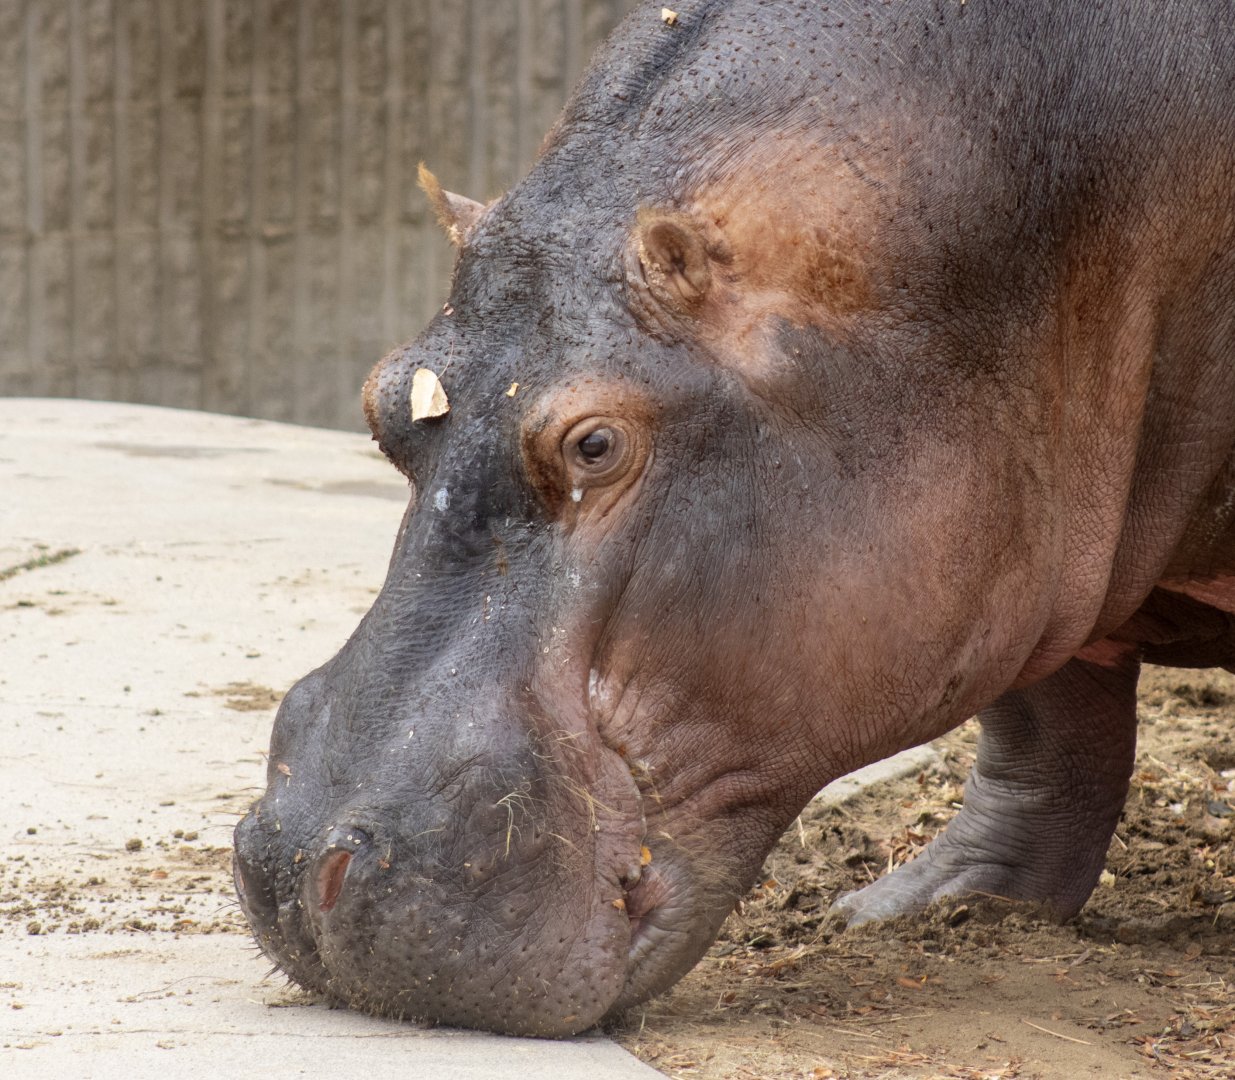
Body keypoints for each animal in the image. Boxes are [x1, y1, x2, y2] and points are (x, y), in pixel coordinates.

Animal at [233, 0, 1235, 1038]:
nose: (297, 862)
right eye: (380, 399)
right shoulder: (1040, 547)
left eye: (595, 445)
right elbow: (1046, 719)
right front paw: (926, 908)